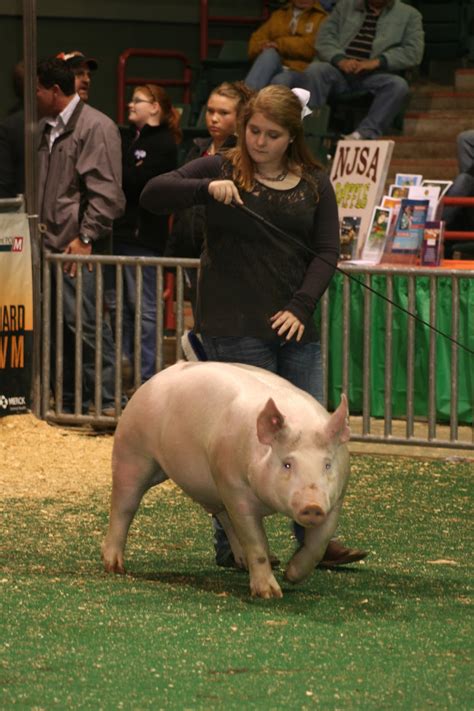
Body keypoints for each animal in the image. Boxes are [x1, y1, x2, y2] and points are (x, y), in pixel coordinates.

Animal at [102, 362, 350, 600]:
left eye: (327, 464)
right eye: (287, 464)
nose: (313, 506)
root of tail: (154, 379)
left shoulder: (336, 498)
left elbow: (318, 545)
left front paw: (291, 575)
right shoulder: (236, 489)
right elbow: (256, 543)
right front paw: (269, 594)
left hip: (214, 484)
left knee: (223, 516)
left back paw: (242, 563)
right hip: (132, 451)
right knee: (123, 505)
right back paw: (114, 567)